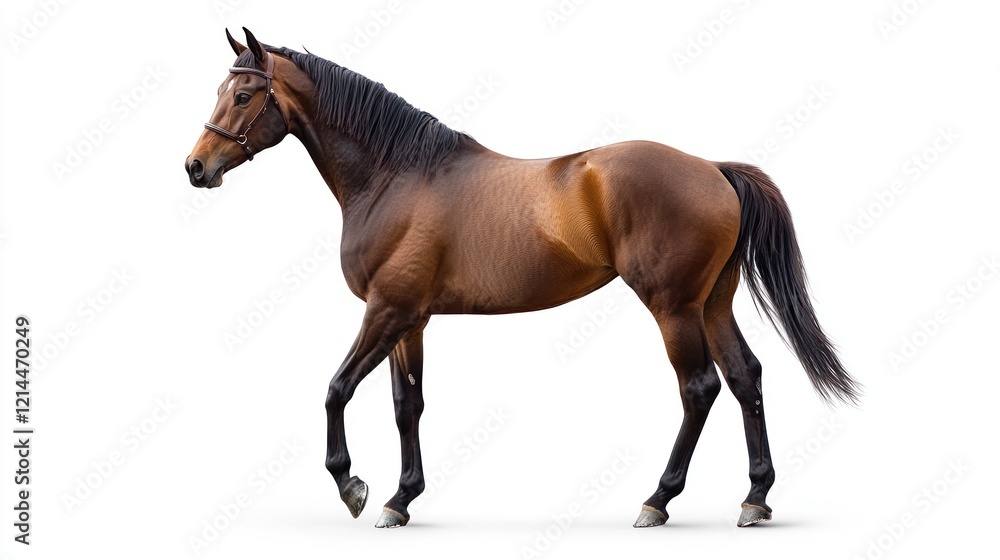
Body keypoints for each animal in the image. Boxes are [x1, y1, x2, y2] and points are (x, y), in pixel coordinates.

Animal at [185, 28, 860, 529]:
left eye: (243, 95)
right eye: (222, 87)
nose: (195, 167)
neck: (396, 174)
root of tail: (714, 169)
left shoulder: (386, 311)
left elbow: (335, 389)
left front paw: (352, 485)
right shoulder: (411, 320)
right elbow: (408, 405)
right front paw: (401, 499)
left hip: (672, 307)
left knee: (699, 388)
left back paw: (657, 500)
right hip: (712, 304)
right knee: (746, 378)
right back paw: (755, 498)